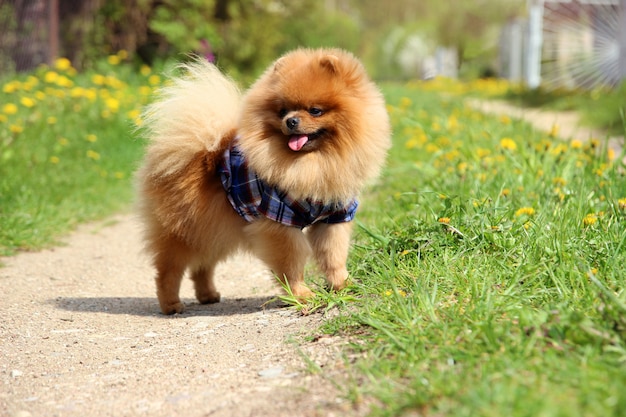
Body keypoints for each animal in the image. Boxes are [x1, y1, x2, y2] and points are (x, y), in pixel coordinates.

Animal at [136, 48, 390, 312]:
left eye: (315, 110)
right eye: (283, 111)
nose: (291, 121)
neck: (314, 163)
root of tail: (201, 148)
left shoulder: (333, 217)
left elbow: (334, 255)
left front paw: (343, 284)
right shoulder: (279, 221)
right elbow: (292, 262)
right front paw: (300, 294)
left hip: (214, 228)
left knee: (202, 265)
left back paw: (208, 295)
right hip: (186, 230)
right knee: (169, 268)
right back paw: (171, 304)